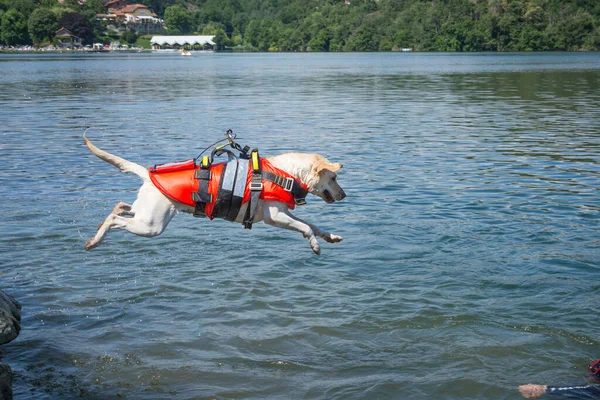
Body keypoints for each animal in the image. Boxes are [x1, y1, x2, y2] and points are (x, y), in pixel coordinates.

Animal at [84, 138, 346, 255]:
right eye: (334, 178)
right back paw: (94, 240)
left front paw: (330, 236)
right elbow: (307, 228)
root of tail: (148, 175)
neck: (285, 174)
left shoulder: (284, 213)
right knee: (115, 219)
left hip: (146, 214)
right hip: (151, 225)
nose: (344, 195)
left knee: (120, 206)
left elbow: (313, 225)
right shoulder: (275, 217)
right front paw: (314, 245)